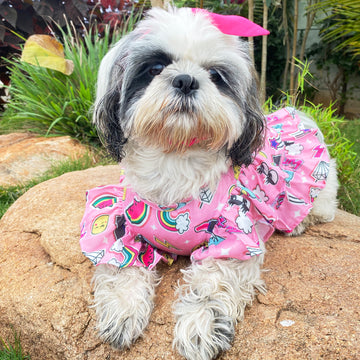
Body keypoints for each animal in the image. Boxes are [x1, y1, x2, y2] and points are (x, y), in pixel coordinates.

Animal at [80, 6, 338, 360]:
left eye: (216, 75)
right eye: (155, 68)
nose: (186, 80)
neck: (176, 159)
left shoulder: (233, 235)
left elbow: (212, 282)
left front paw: (200, 327)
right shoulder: (115, 223)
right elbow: (121, 267)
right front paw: (121, 313)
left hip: (317, 189)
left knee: (319, 209)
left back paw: (298, 223)